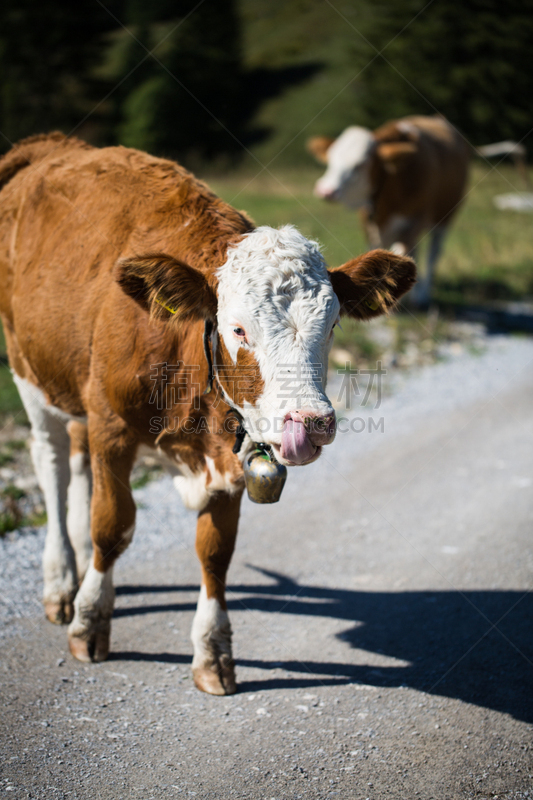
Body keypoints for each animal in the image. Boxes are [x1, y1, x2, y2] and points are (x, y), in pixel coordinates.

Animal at [0, 133, 416, 692]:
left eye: (332, 325)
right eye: (238, 328)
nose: (310, 422)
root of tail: (53, 144)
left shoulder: (231, 456)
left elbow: (215, 552)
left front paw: (212, 651)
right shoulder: (111, 423)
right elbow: (112, 524)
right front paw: (89, 623)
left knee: (78, 464)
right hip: (30, 370)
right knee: (52, 465)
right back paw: (62, 581)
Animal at [310, 115, 468, 306]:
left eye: (361, 164)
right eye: (331, 160)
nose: (326, 190)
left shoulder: (416, 221)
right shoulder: (369, 223)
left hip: (444, 218)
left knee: (433, 253)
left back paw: (422, 295)